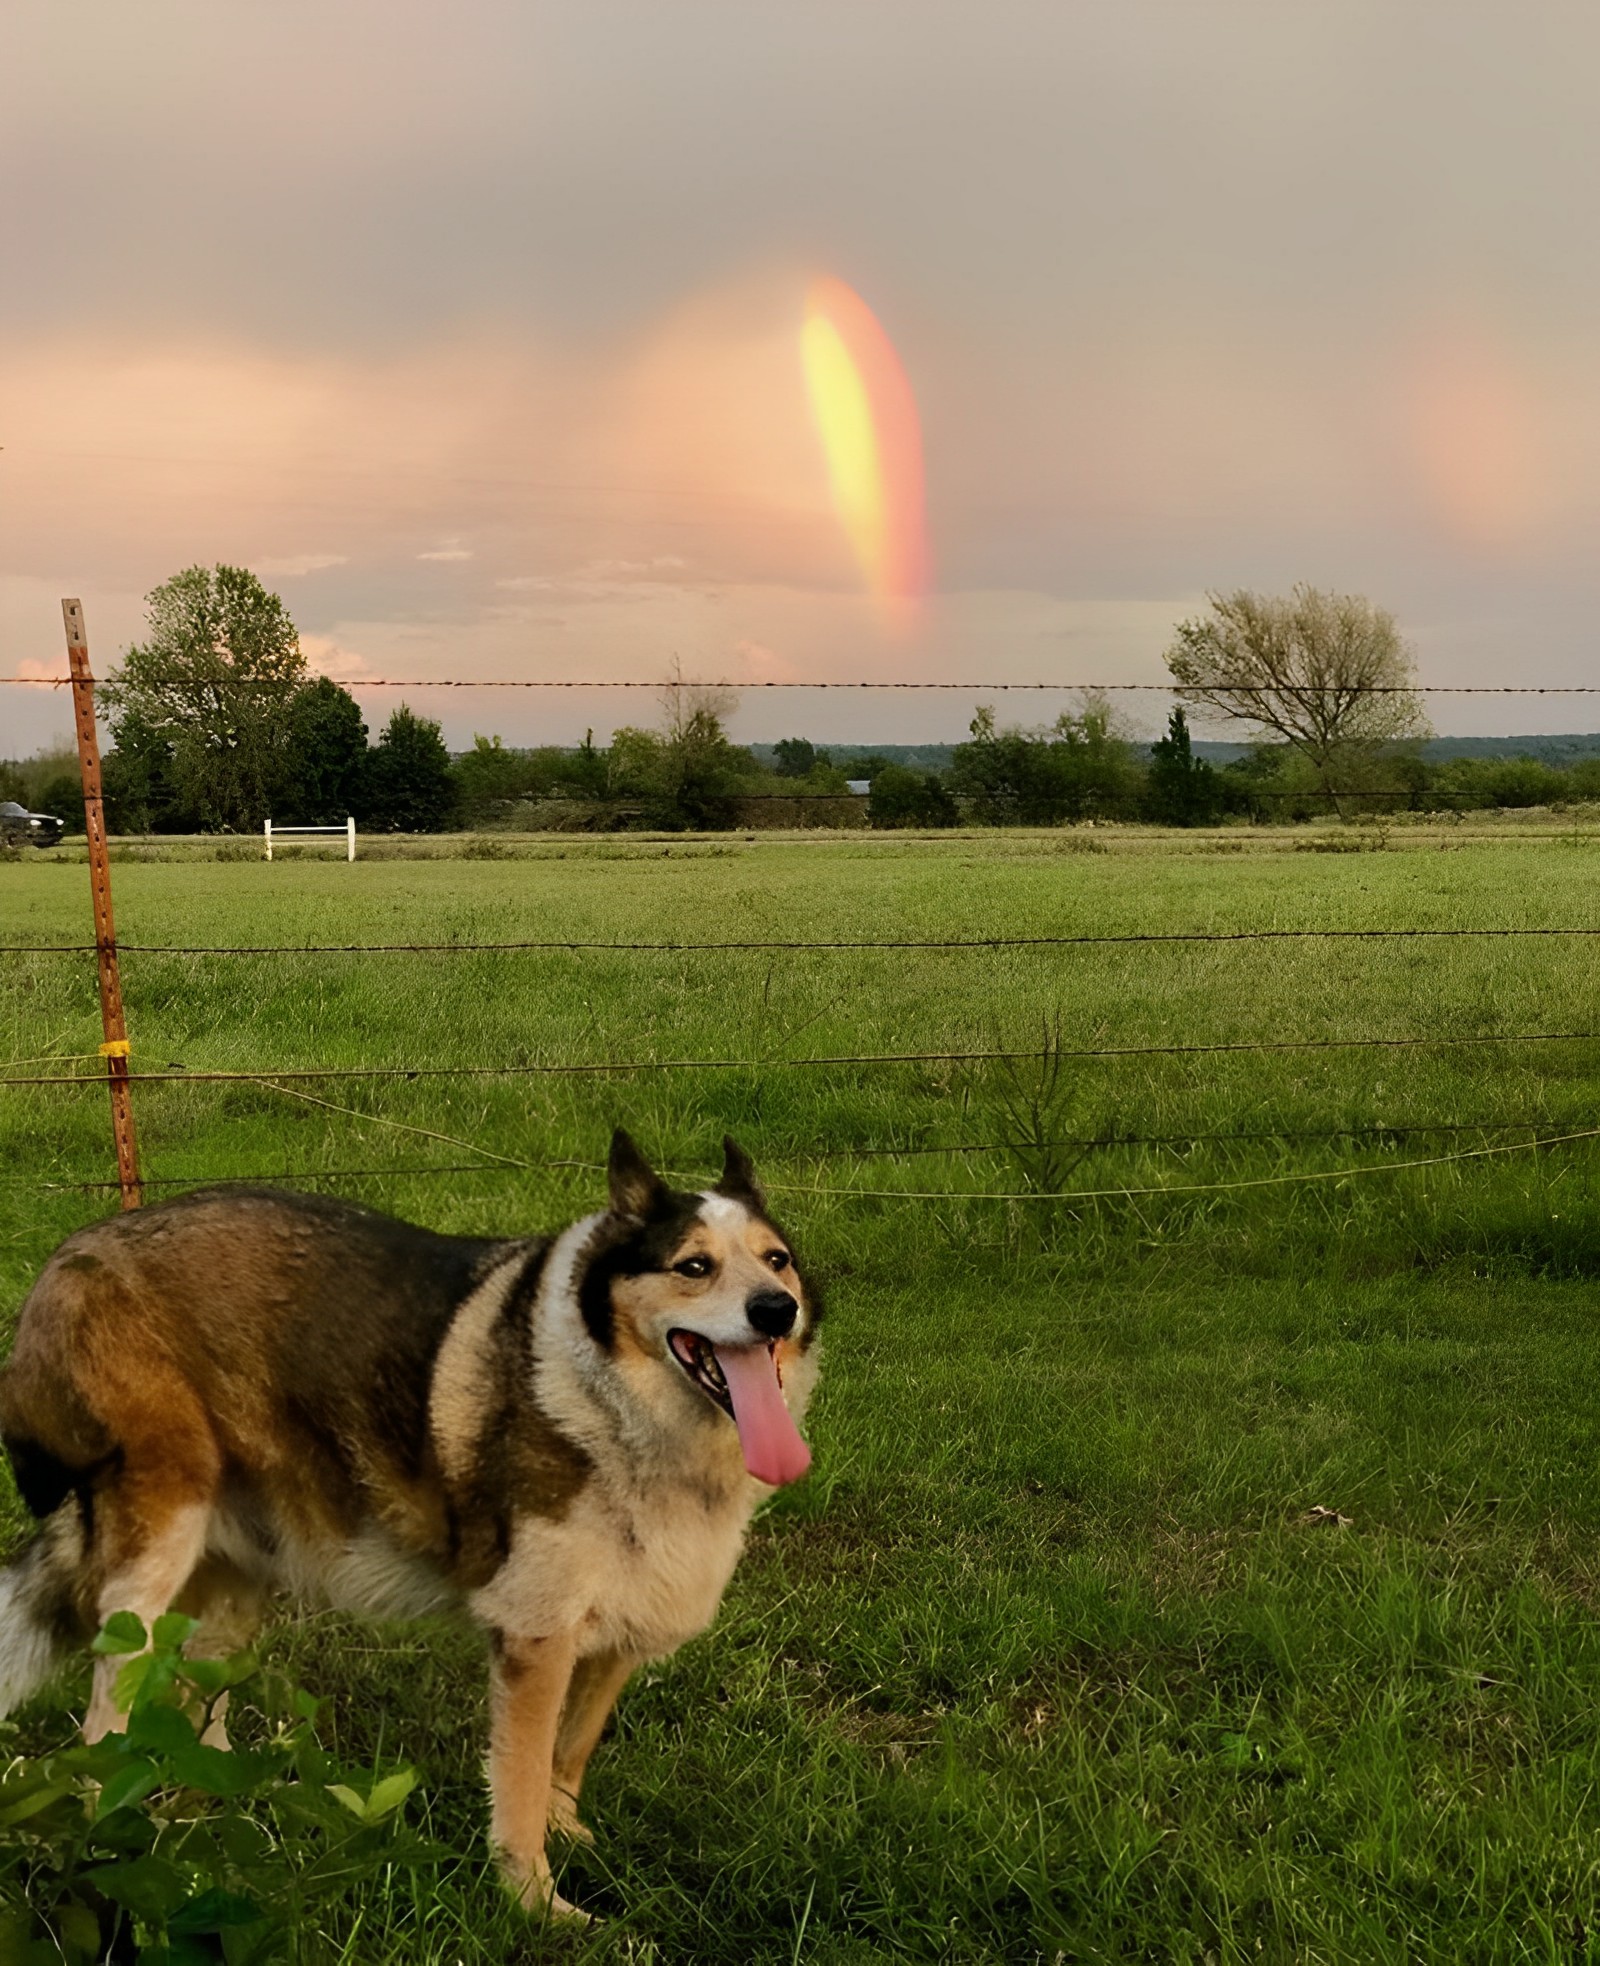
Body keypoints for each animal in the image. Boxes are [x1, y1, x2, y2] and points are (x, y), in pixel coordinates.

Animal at [0, 1140, 821, 1918]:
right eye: (693, 1267)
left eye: (776, 1259)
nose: (776, 1310)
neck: (617, 1403)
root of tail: (73, 1253)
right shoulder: (535, 1638)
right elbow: (522, 1782)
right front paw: (537, 1906)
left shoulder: (620, 1624)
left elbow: (570, 1754)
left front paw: (571, 1838)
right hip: (154, 1555)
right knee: (105, 1721)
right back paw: (115, 1843)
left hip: (232, 1587)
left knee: (199, 1704)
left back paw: (218, 1813)